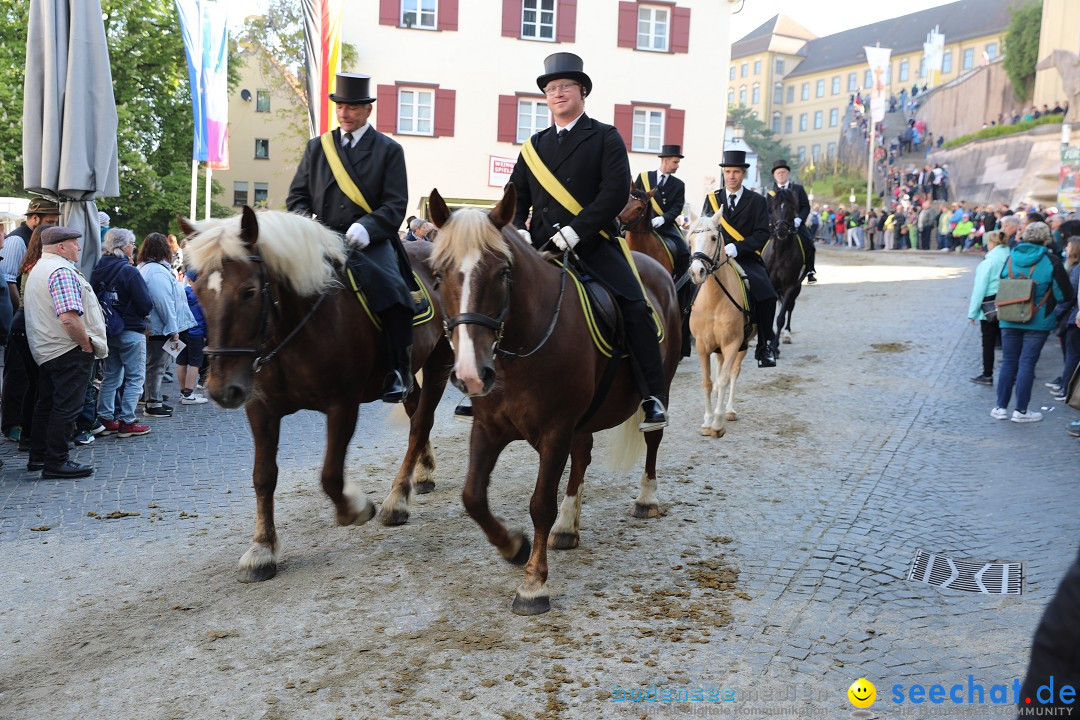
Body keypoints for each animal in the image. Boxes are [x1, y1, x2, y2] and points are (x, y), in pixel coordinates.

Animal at [183, 205, 453, 582]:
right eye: (197, 290)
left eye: (249, 291)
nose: (222, 390)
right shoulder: (260, 408)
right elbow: (263, 476)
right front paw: (262, 549)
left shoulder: (343, 405)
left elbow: (330, 474)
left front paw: (355, 507)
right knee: (417, 414)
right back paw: (423, 473)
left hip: (441, 360)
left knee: (420, 424)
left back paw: (397, 500)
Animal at [425, 184, 678, 613]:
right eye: (439, 275)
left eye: (503, 273)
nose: (471, 375)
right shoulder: (488, 427)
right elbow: (473, 496)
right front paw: (513, 546)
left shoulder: (555, 430)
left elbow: (540, 503)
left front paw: (533, 584)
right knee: (583, 456)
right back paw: (566, 526)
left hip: (663, 384)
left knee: (653, 439)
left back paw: (646, 499)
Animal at [691, 213, 751, 440]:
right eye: (690, 239)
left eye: (713, 238)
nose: (697, 272)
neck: (714, 301)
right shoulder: (702, 346)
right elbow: (707, 382)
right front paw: (707, 421)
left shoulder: (733, 343)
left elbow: (726, 377)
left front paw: (717, 422)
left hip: (743, 345)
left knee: (733, 372)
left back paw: (729, 410)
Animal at [760, 185, 803, 354]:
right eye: (774, 208)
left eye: (792, 208)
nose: (781, 231)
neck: (781, 253)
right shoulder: (770, 285)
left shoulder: (790, 286)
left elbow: (780, 317)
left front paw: (774, 347)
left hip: (796, 287)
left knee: (790, 307)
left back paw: (787, 335)